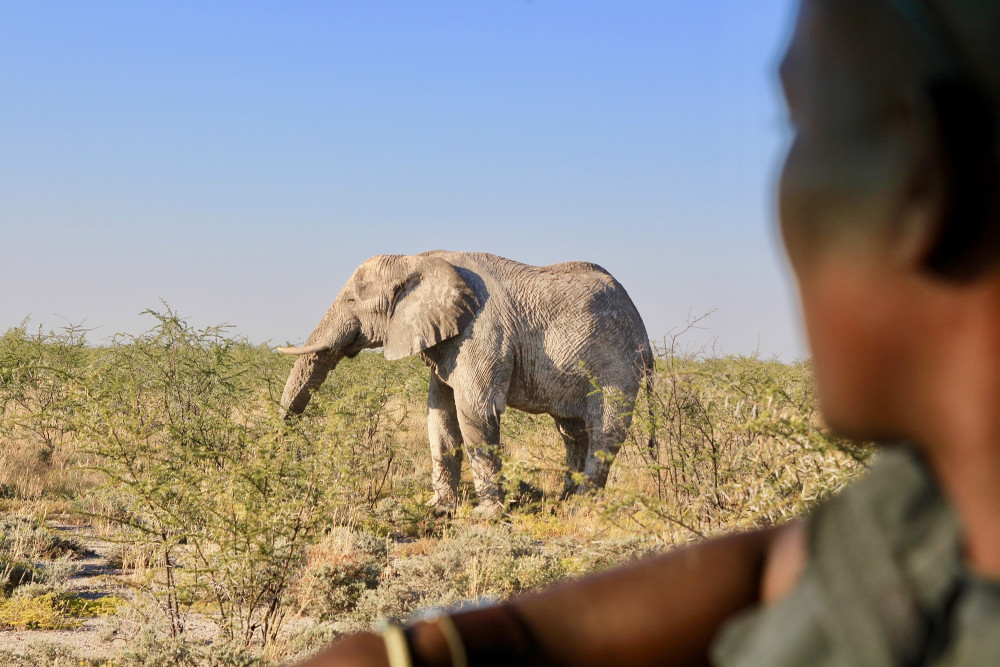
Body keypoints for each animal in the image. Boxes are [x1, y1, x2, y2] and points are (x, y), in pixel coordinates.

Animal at [280, 250, 656, 516]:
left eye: (351, 301)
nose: (287, 458)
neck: (418, 258)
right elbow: (440, 415)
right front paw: (440, 509)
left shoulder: (482, 332)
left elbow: (475, 411)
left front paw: (486, 516)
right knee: (572, 431)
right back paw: (562, 502)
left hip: (617, 364)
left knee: (605, 431)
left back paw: (581, 509)